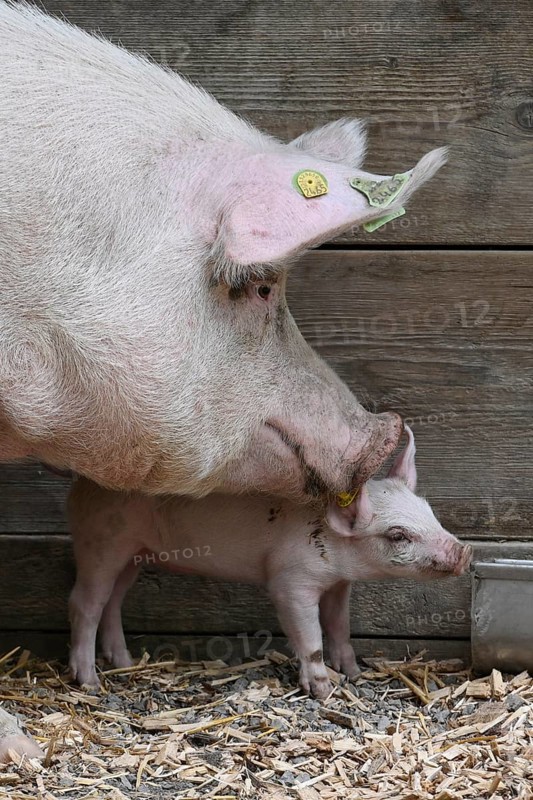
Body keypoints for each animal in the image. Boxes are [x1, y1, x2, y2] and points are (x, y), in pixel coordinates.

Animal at [67, 427, 472, 697]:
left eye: (430, 512)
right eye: (398, 535)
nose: (463, 551)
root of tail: (81, 484)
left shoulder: (339, 583)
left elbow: (339, 625)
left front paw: (353, 672)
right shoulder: (290, 581)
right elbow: (309, 634)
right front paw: (324, 690)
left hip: (133, 554)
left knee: (112, 601)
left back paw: (123, 662)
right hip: (100, 542)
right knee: (84, 602)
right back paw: (90, 682)